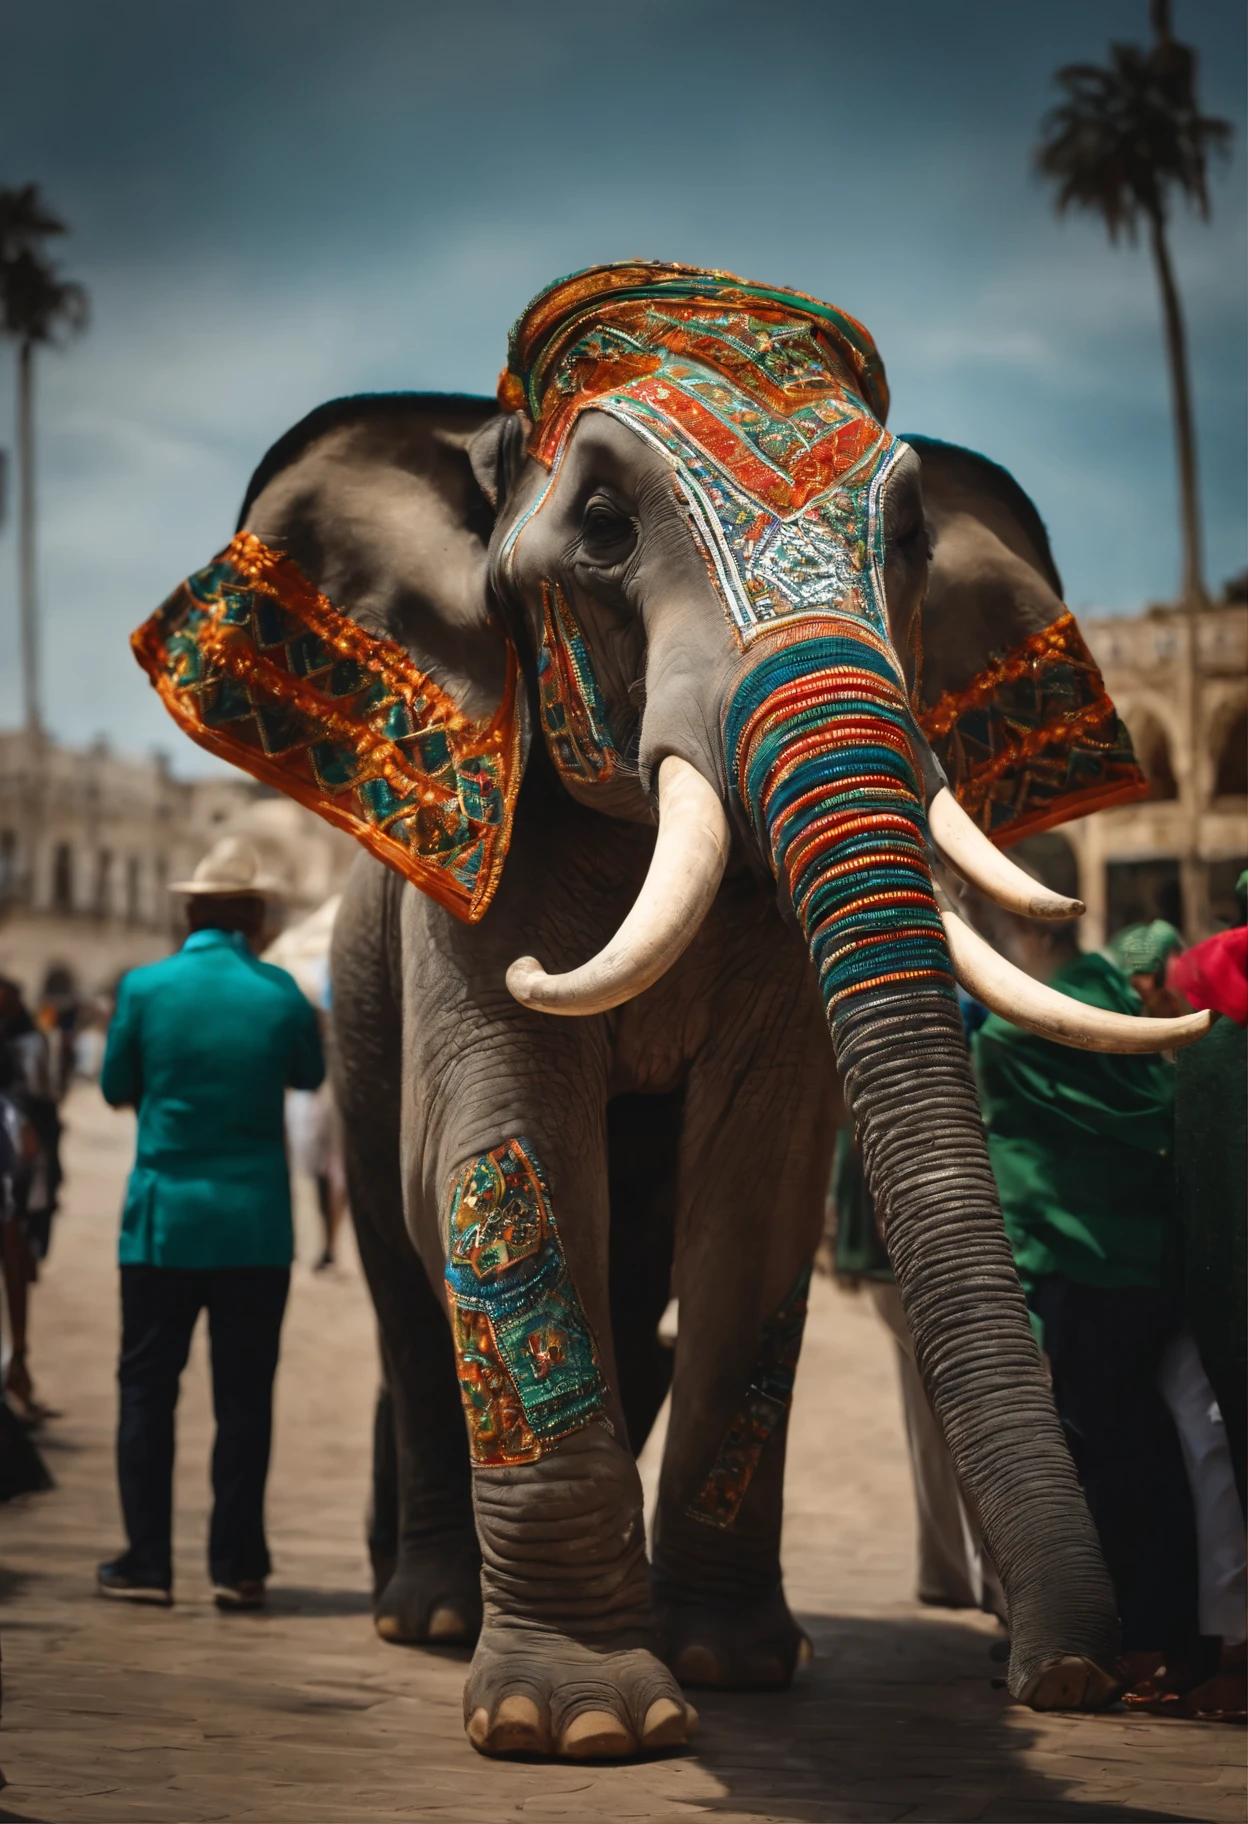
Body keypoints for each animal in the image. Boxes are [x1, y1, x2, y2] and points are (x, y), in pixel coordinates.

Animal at [129, 264, 1211, 1758]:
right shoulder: (479, 861)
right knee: (407, 1280)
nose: (1068, 1680)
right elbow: (502, 1146)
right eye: (599, 528)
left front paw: (737, 1667)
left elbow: (758, 1186)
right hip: (351, 1009)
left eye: (911, 539)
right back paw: (428, 1613)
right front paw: (578, 1724)